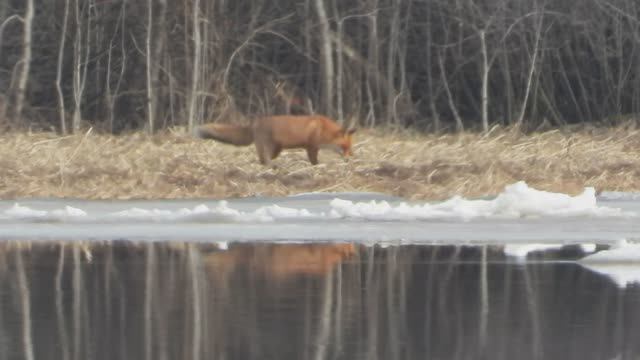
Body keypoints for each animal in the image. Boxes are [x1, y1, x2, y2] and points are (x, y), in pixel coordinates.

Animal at [196, 114, 356, 165]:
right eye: (344, 147)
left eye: (350, 148)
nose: (348, 160)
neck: (323, 129)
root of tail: (256, 122)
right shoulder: (311, 146)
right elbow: (314, 161)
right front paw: (316, 166)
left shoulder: (313, 147)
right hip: (269, 148)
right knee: (264, 160)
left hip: (276, 150)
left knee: (261, 159)